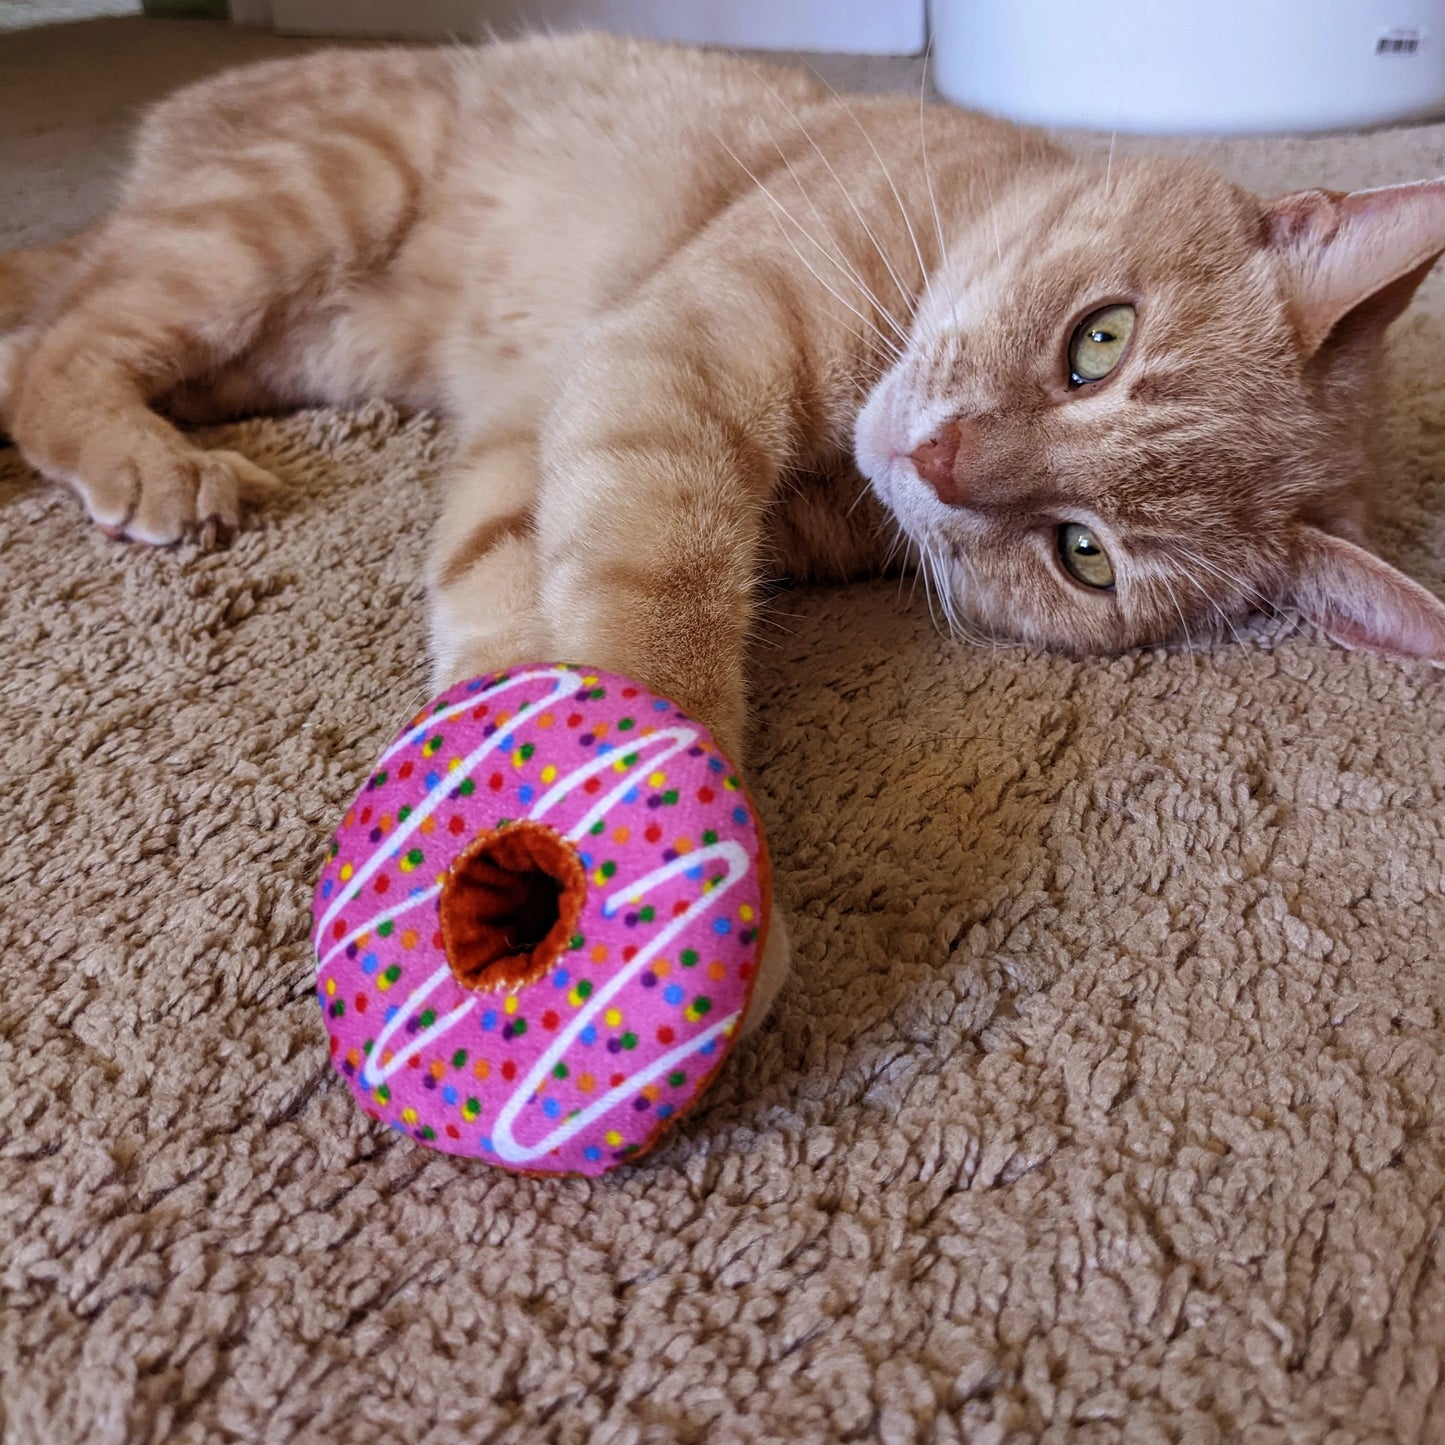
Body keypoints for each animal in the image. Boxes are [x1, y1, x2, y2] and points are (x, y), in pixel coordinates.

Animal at [2, 33, 1445, 1028]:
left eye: (1079, 552)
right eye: (1100, 340)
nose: (938, 458)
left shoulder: (542, 426)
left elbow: (507, 594)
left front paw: (497, 782)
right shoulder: (670, 358)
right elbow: (655, 606)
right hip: (292, 210)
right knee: (57, 345)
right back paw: (144, 459)